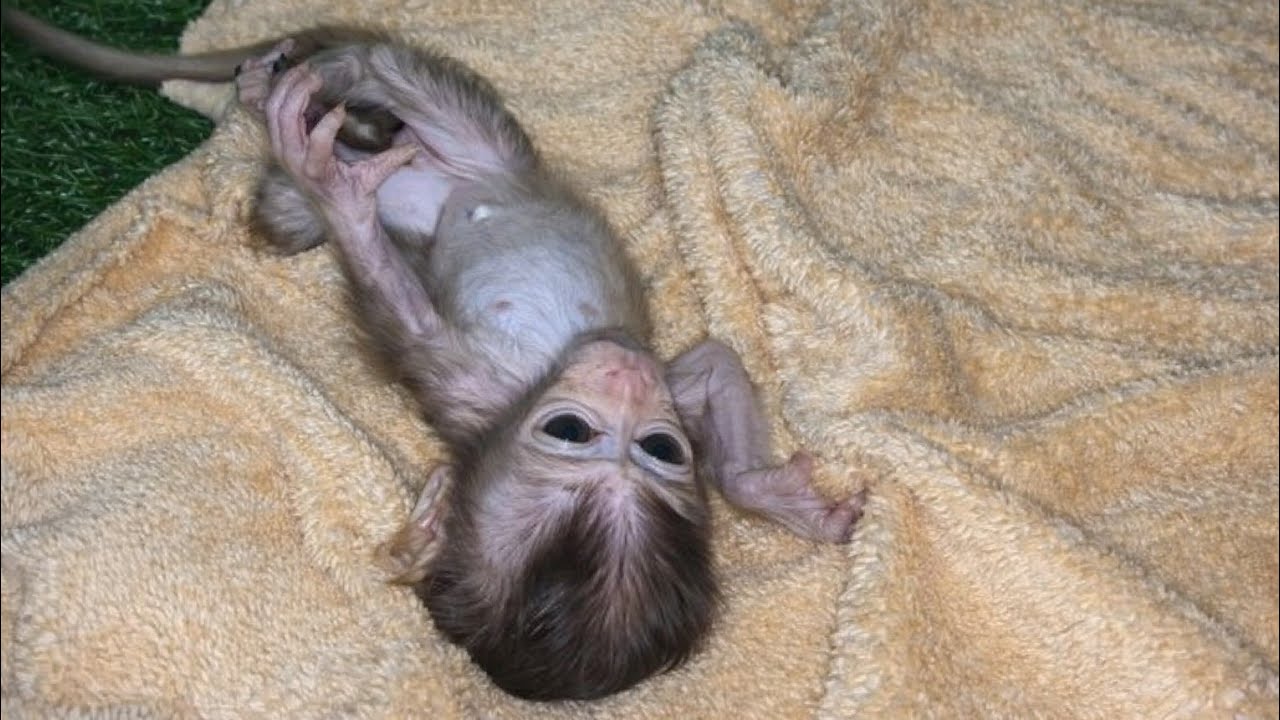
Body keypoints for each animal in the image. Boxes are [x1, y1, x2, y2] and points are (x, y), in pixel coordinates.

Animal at [3, 8, 867, 701]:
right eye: (574, 434)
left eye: (660, 450)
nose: (622, 373)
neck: (528, 396)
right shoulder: (480, 389)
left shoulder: (615, 387)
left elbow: (711, 361)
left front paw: (763, 491)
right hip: (453, 130)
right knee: (369, 76)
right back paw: (291, 94)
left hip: (467, 147)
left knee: (312, 178)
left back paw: (297, 139)